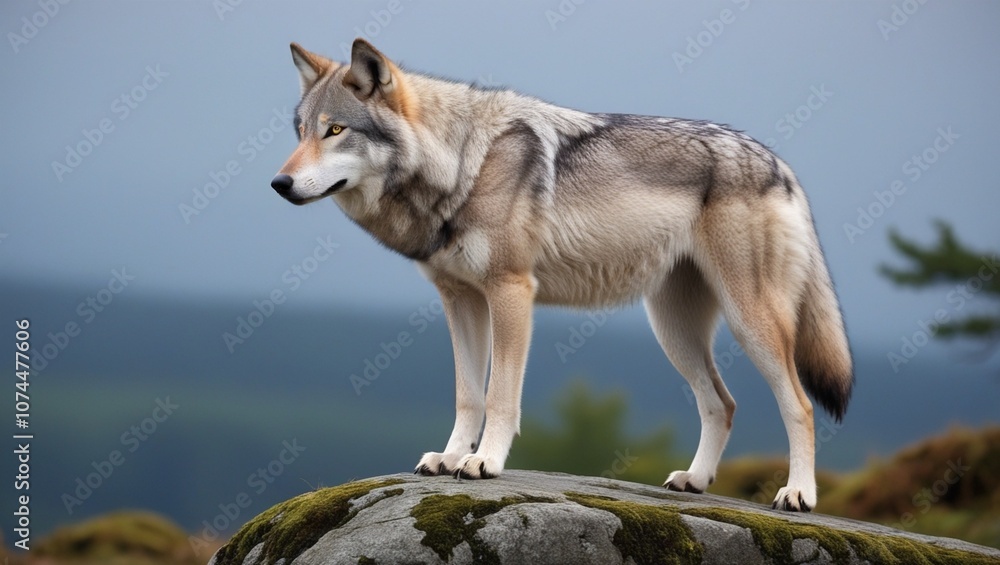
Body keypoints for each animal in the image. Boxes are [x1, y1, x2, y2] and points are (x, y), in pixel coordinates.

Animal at [271, 38, 853, 512]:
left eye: (336, 130)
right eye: (300, 133)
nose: (280, 183)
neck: (462, 166)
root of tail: (778, 162)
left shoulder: (510, 292)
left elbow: (500, 396)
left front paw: (484, 462)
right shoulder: (461, 301)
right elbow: (468, 395)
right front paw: (450, 457)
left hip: (749, 323)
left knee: (800, 405)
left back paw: (798, 494)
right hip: (674, 333)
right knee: (723, 404)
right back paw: (695, 480)